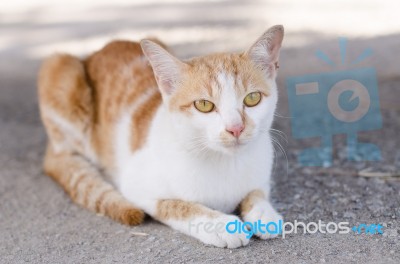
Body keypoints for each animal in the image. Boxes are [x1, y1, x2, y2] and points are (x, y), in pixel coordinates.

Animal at [38, 24, 284, 248]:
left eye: (252, 98)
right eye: (204, 105)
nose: (236, 128)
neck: (224, 162)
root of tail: (98, 51)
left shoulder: (262, 175)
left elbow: (257, 192)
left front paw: (264, 213)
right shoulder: (135, 186)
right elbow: (178, 206)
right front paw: (221, 225)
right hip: (61, 70)